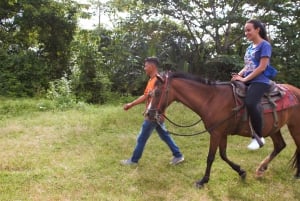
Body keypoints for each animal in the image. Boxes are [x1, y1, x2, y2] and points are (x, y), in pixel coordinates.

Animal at [146, 72, 300, 188]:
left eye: (157, 92)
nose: (148, 114)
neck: (211, 99)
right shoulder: (222, 133)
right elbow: (223, 155)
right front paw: (241, 172)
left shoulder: (216, 133)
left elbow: (211, 157)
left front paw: (203, 181)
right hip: (274, 128)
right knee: (280, 145)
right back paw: (261, 169)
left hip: (294, 126)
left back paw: (296, 175)